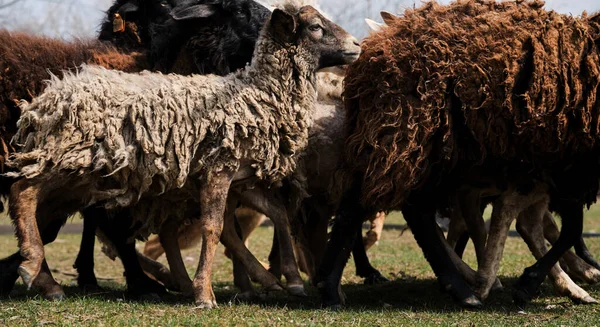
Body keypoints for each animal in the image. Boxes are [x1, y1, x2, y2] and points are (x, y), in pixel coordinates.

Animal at [4, 3, 358, 308]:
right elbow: (213, 228)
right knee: (23, 192)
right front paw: (204, 294)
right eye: (315, 27)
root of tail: (47, 96)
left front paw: (287, 279)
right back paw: (33, 268)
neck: (255, 93)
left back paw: (42, 275)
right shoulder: (218, 169)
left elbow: (275, 215)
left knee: (42, 208)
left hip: (84, 173)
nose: (356, 45)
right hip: (68, 154)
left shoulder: (240, 179)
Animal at [314, 0, 600, 308]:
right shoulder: (571, 166)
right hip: (411, 136)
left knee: (377, 205)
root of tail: (376, 48)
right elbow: (566, 228)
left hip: (409, 144)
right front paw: (527, 281)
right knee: (399, 209)